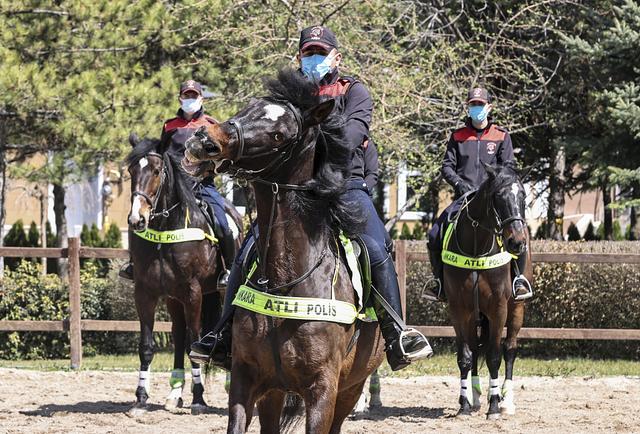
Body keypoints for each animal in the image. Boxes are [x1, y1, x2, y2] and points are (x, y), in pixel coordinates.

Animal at [126, 134, 244, 416]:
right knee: (178, 334)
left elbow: (195, 342)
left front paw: (199, 398)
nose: (137, 219)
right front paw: (141, 398)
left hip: (219, 292)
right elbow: (147, 347)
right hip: (173, 297)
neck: (165, 230)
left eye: (156, 171)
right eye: (131, 171)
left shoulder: (193, 292)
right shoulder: (145, 293)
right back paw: (175, 393)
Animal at [181, 69, 384, 432]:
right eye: (249, 108)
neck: (285, 281)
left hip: (351, 388)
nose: (204, 139)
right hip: (275, 393)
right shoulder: (246, 379)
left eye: (279, 135)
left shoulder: (323, 390)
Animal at [444, 161, 528, 418]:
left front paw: (494, 406)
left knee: (510, 348)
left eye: (523, 196)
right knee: (474, 347)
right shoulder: (458, 309)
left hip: (516, 309)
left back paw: (506, 400)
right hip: (474, 314)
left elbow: (494, 356)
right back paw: (475, 396)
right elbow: (465, 356)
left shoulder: (498, 307)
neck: (476, 248)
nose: (517, 242)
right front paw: (464, 404)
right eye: (498, 197)